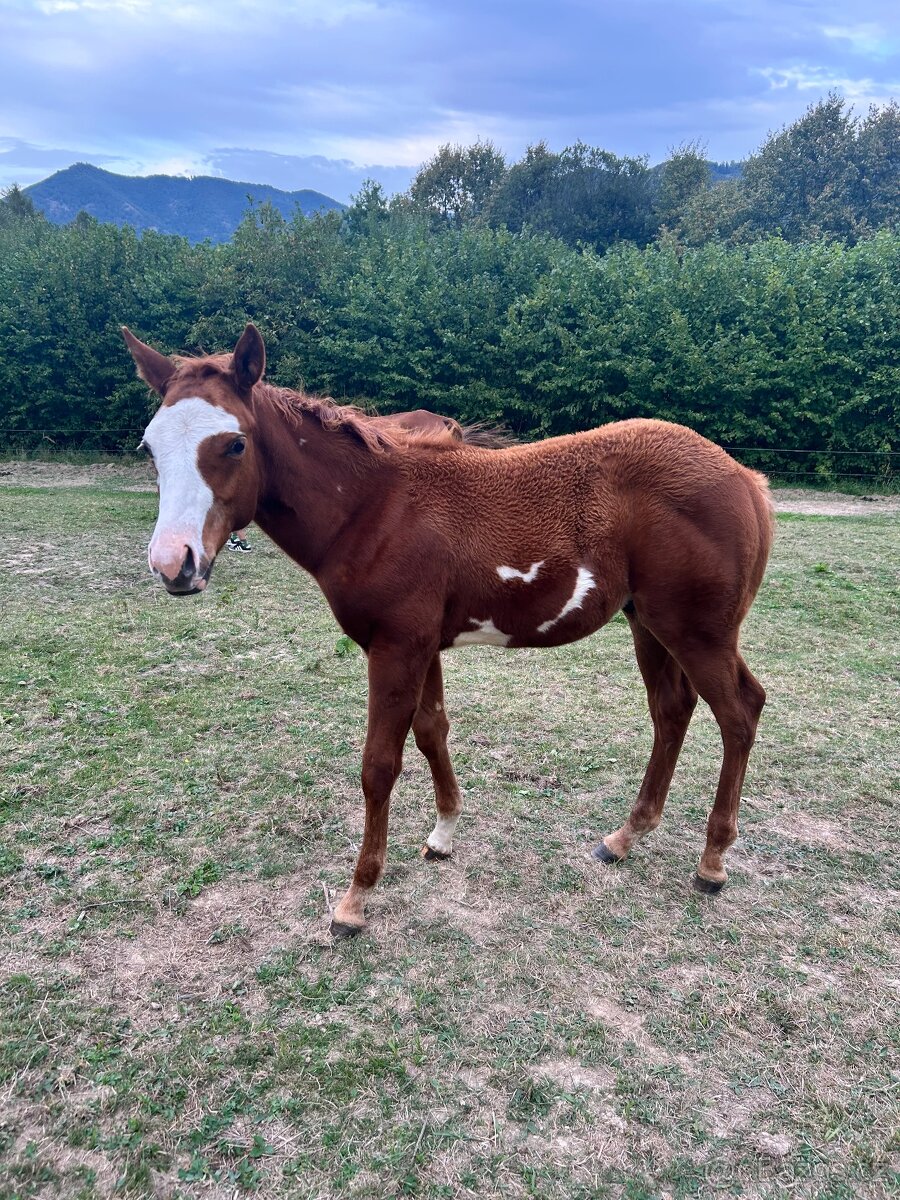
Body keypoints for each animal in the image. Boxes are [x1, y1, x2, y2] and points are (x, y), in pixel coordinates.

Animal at [123, 323, 774, 937]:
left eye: (235, 443)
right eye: (150, 446)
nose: (173, 563)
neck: (374, 508)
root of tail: (744, 476)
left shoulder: (395, 649)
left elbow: (379, 765)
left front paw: (356, 898)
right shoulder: (421, 645)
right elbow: (432, 731)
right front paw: (443, 834)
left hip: (696, 632)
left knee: (739, 711)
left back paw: (712, 861)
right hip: (649, 625)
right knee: (672, 710)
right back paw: (625, 837)